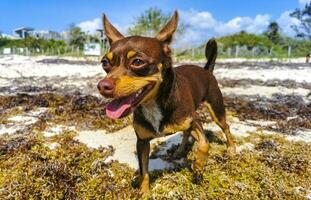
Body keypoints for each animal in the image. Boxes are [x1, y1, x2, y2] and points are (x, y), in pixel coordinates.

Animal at [97, 10, 236, 194]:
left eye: (137, 62)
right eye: (105, 63)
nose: (102, 86)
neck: (154, 104)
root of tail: (207, 70)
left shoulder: (195, 121)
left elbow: (204, 144)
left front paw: (198, 166)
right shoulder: (142, 143)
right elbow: (144, 171)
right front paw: (144, 193)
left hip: (216, 110)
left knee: (225, 127)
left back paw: (231, 148)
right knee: (186, 133)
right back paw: (180, 151)